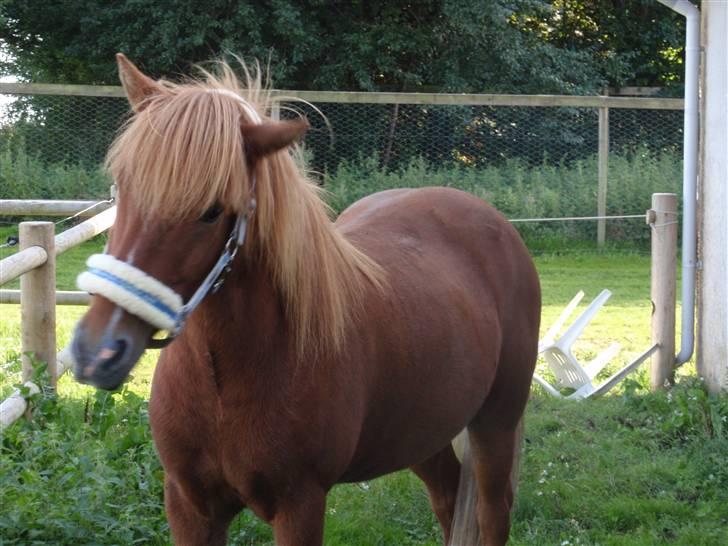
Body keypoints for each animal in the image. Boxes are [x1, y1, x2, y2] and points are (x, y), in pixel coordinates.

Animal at [71, 52, 540, 544]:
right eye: (122, 186)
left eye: (212, 211)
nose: (96, 352)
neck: (225, 380)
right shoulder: (189, 505)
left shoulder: (300, 506)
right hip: (422, 428)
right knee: (448, 498)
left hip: (496, 421)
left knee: (492, 511)